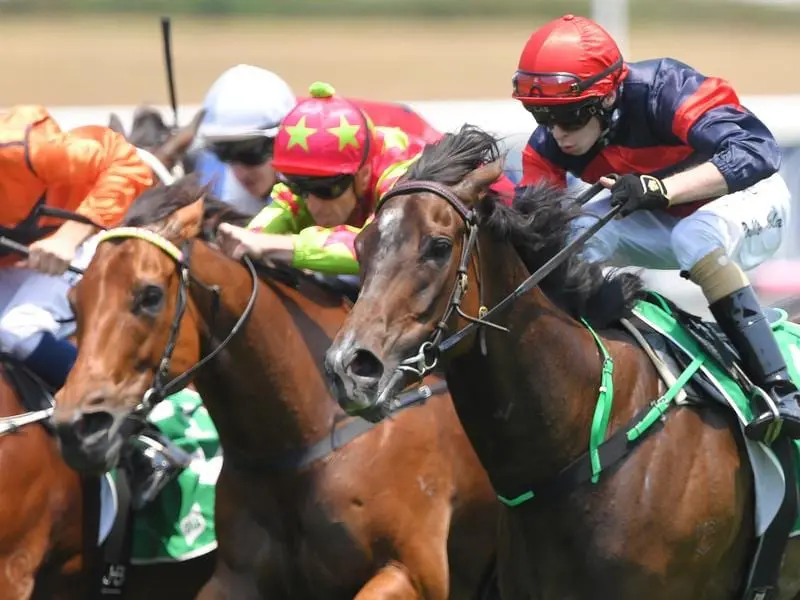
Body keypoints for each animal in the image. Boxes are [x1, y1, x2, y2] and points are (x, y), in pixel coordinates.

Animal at [48, 178, 500, 600]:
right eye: (73, 301)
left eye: (150, 295)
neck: (306, 437)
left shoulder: (413, 572)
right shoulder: (236, 577)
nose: (77, 427)